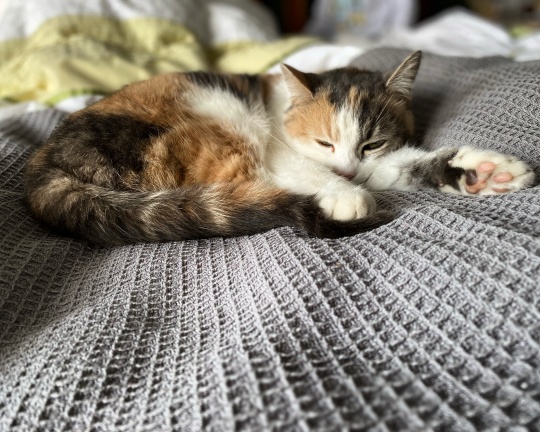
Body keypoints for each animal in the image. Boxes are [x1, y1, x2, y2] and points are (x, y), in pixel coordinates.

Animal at [24, 51, 535, 246]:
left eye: (371, 143)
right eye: (324, 141)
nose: (347, 174)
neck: (283, 110)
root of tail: (43, 168)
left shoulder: (375, 162)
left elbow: (401, 166)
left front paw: (485, 171)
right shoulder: (279, 149)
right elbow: (304, 169)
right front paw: (346, 196)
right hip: (217, 116)